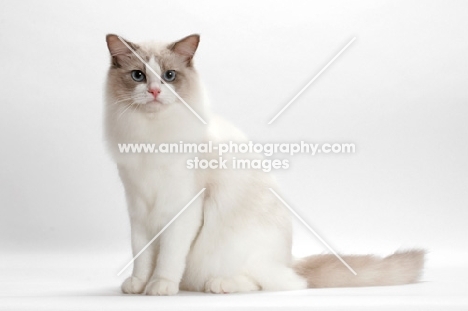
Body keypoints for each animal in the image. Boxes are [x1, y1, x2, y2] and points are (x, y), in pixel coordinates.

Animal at [104, 34, 426, 298]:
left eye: (169, 76)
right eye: (138, 76)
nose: (155, 92)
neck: (151, 135)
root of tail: (290, 260)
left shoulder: (181, 209)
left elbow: (168, 257)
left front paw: (160, 287)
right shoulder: (139, 208)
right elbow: (142, 255)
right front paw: (138, 285)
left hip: (232, 247)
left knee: (281, 283)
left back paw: (220, 285)